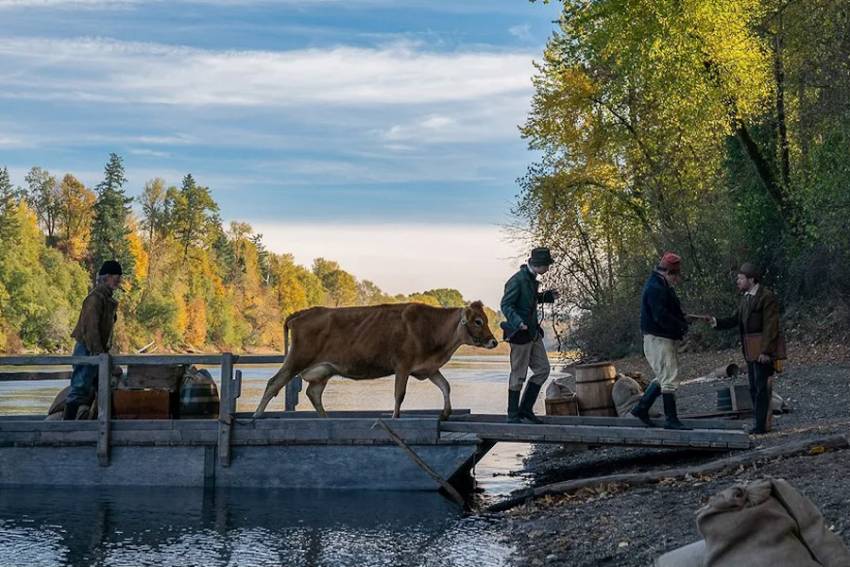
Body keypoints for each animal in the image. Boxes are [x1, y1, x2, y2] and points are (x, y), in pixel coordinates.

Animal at [252, 300, 496, 420]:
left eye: (484, 319)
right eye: (477, 321)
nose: (494, 341)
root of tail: (301, 313)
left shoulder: (428, 368)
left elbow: (446, 386)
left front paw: (446, 412)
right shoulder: (403, 365)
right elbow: (399, 394)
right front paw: (395, 416)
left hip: (323, 370)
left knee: (314, 393)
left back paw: (326, 418)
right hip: (297, 359)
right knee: (274, 382)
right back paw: (256, 415)